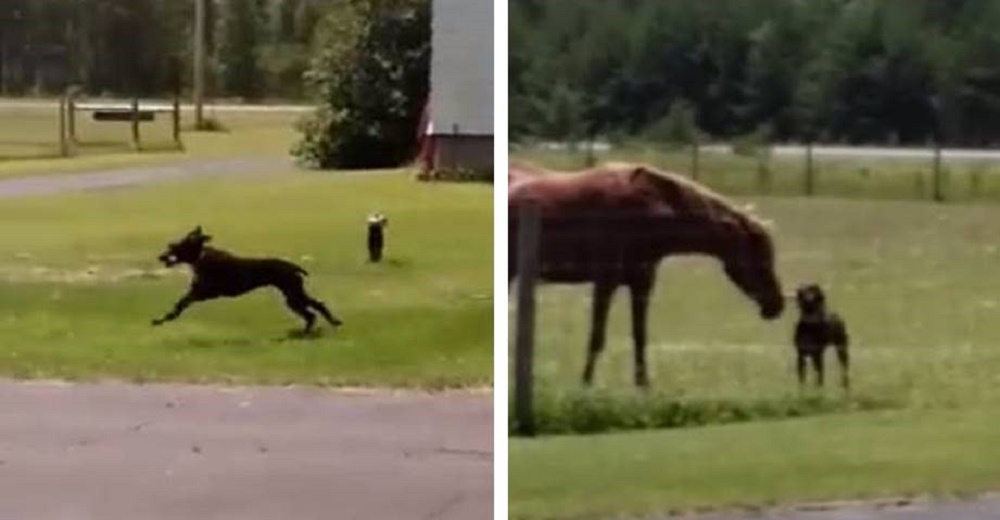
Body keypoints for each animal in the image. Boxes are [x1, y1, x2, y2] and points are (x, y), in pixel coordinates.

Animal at [512, 161, 784, 386]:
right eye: (760, 259)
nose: (777, 305)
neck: (644, 209)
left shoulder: (642, 284)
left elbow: (639, 336)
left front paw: (643, 385)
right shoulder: (605, 282)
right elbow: (597, 337)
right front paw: (586, 384)